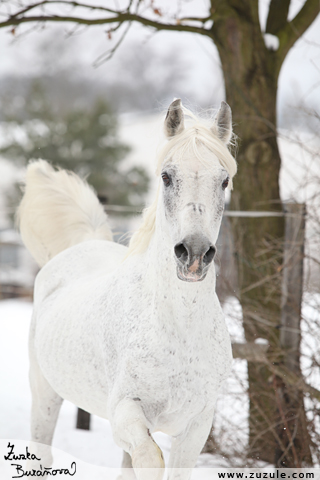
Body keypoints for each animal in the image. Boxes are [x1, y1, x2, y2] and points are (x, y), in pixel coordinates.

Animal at [18, 99, 238, 478]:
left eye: (223, 180)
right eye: (166, 176)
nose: (194, 254)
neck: (179, 330)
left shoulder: (196, 427)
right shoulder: (125, 412)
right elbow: (150, 459)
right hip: (45, 393)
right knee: (42, 453)